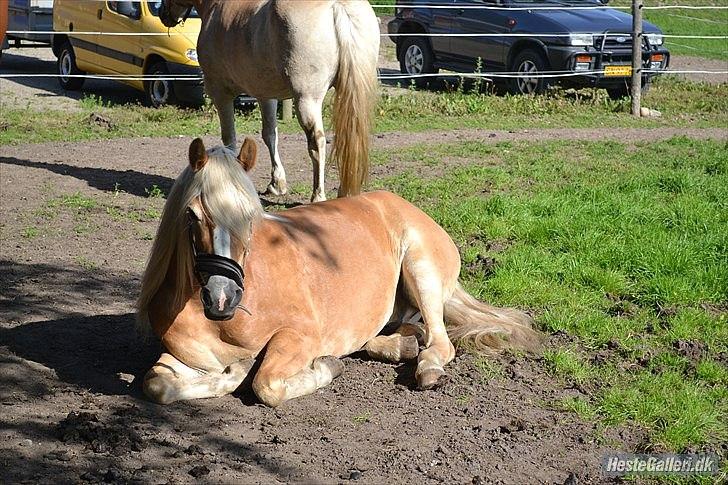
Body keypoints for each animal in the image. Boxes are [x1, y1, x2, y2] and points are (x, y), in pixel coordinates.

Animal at [139, 138, 544, 406]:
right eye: (192, 216)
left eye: (250, 217)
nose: (222, 297)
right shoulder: (182, 359)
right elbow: (157, 385)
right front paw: (234, 370)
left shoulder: (298, 337)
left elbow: (266, 384)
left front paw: (316, 369)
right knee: (401, 332)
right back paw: (401, 343)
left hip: (421, 269)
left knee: (440, 341)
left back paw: (425, 365)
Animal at [160, 0, 382, 200]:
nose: (163, 14)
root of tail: (337, 6)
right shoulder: (266, 95)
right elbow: (270, 135)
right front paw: (277, 184)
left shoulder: (221, 93)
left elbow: (229, 138)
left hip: (307, 100)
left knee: (317, 142)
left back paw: (318, 197)